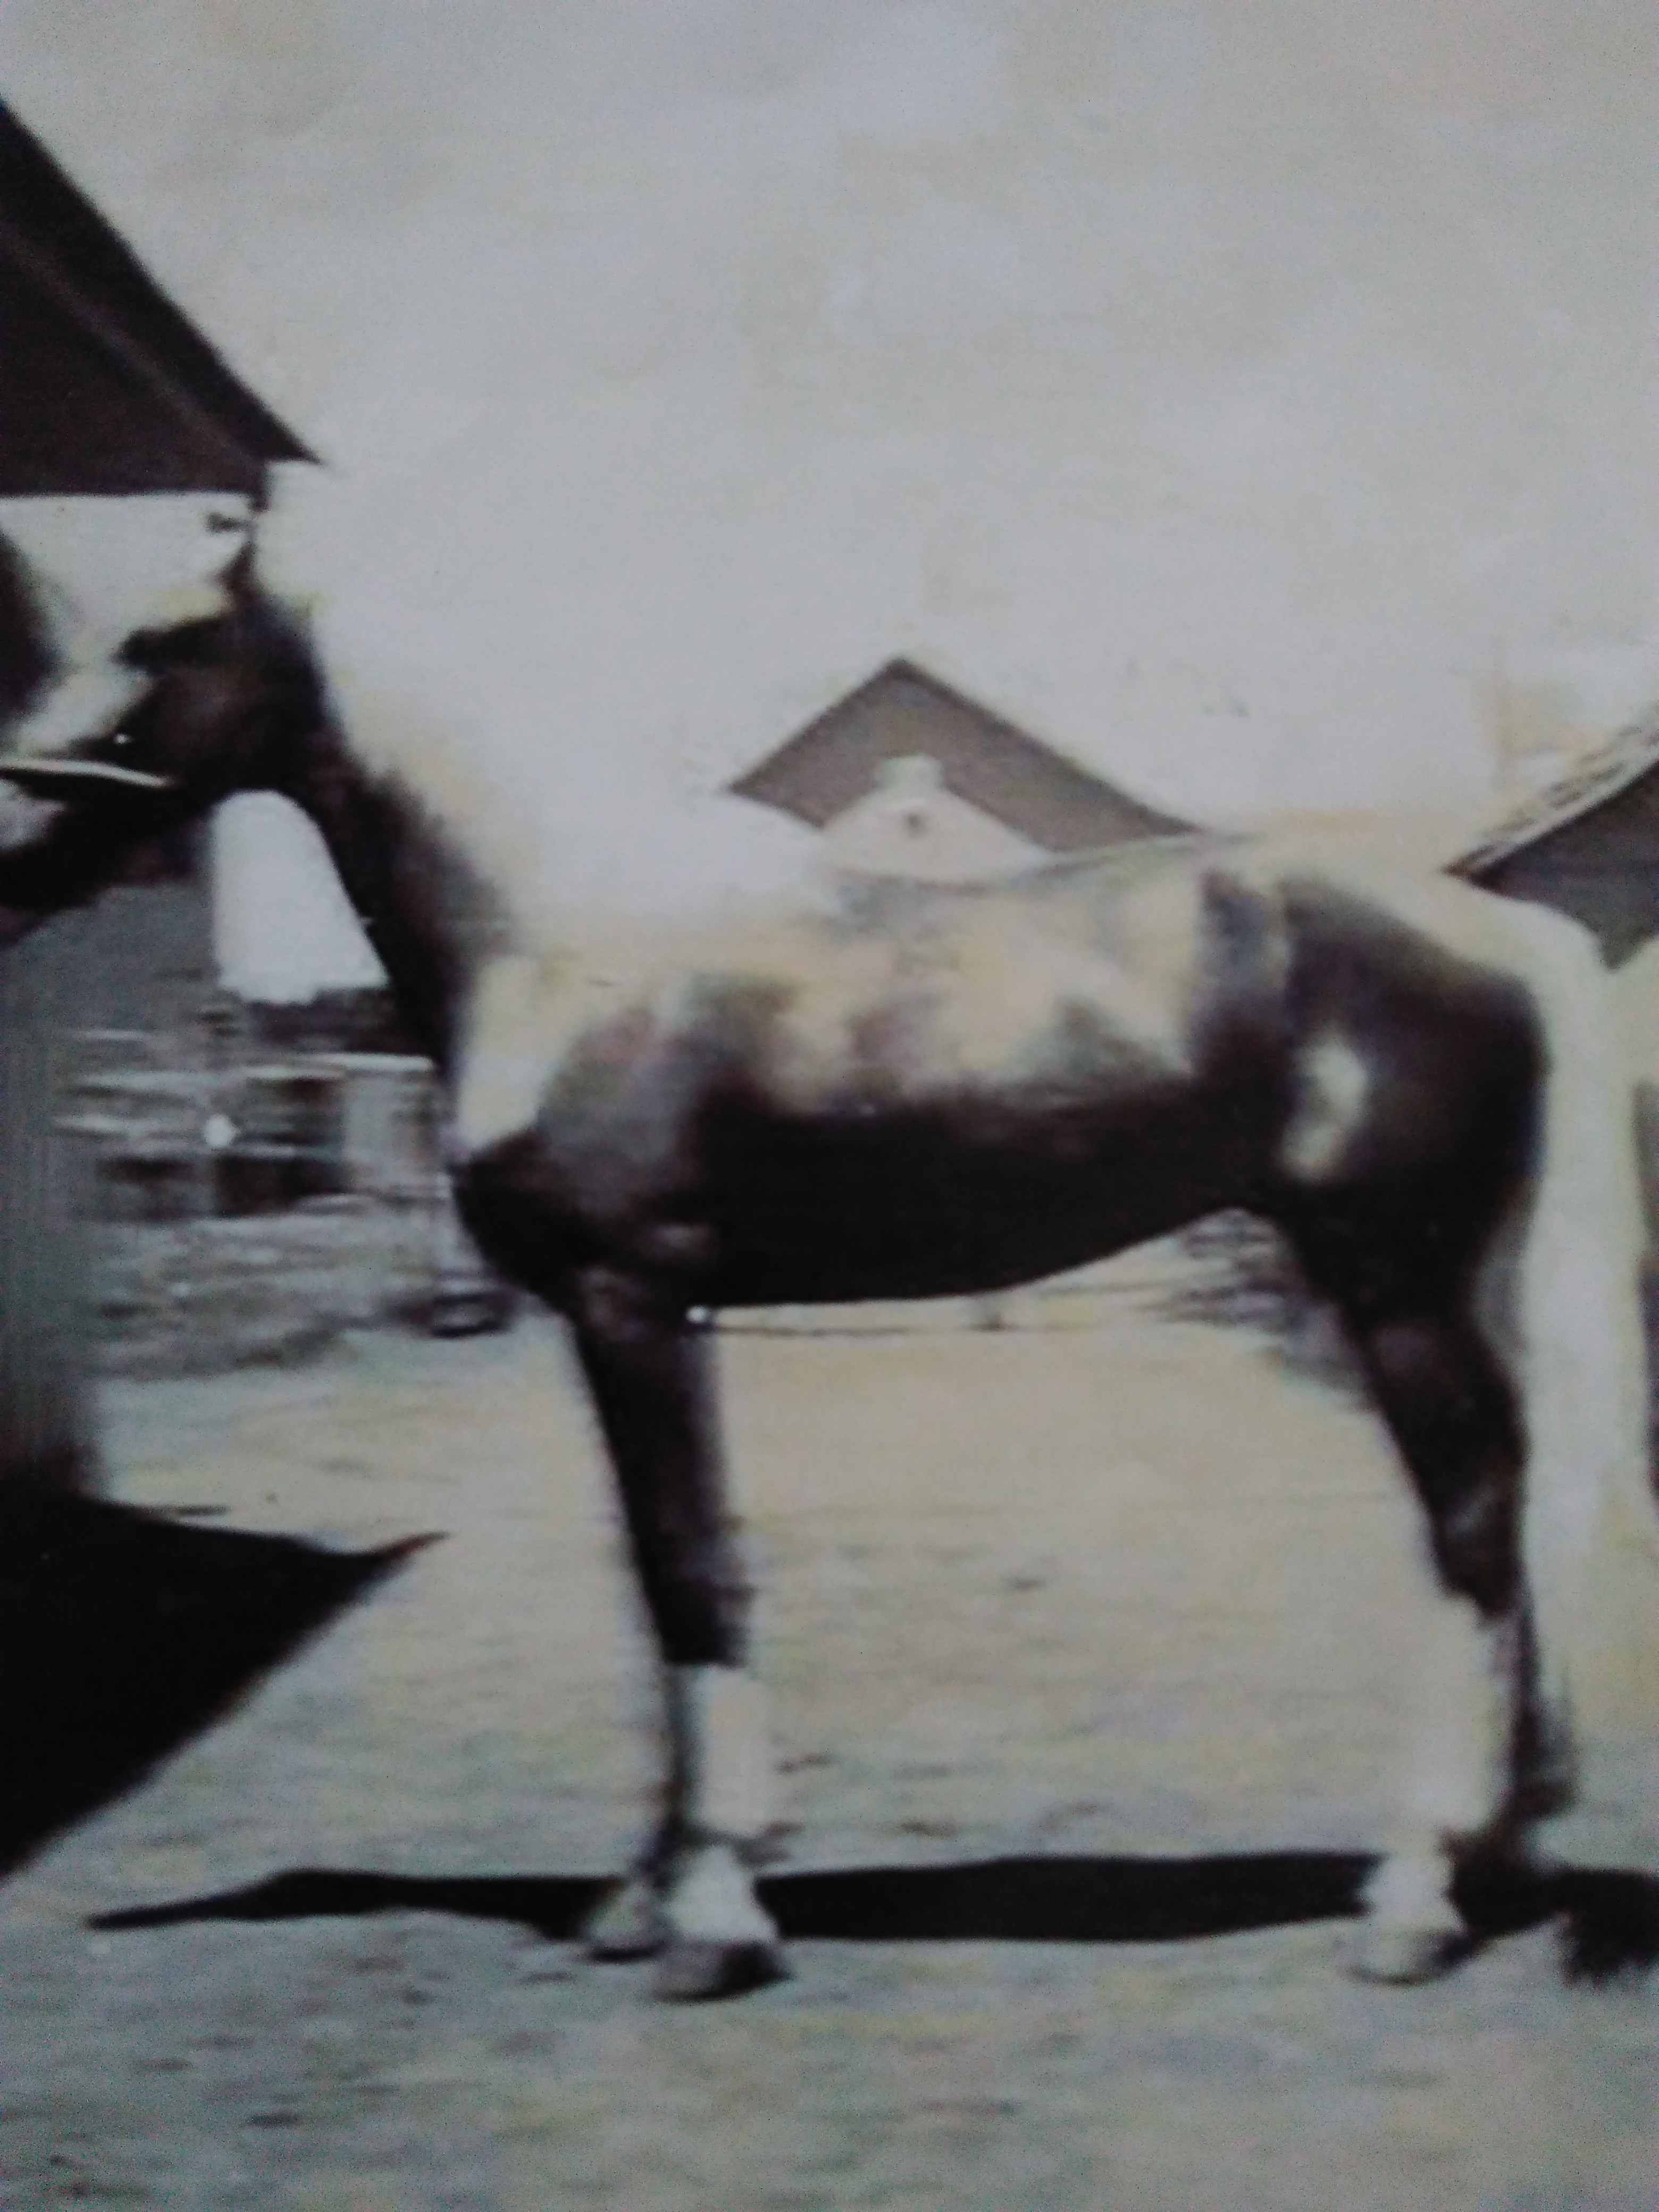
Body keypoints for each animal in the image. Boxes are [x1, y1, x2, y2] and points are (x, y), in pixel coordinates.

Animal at [3, 572, 1657, 2001]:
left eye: (163, 641)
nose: (12, 835)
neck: (562, 942)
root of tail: (1495, 923)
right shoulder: (653, 1317)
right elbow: (665, 1567)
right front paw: (651, 1887)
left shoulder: (628, 1299)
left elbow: (684, 1569)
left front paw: (711, 1916)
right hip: (1460, 1281)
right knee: (1509, 1512)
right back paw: (1502, 1852)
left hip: (1391, 1283)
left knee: (1469, 1516)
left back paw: (1413, 1893)